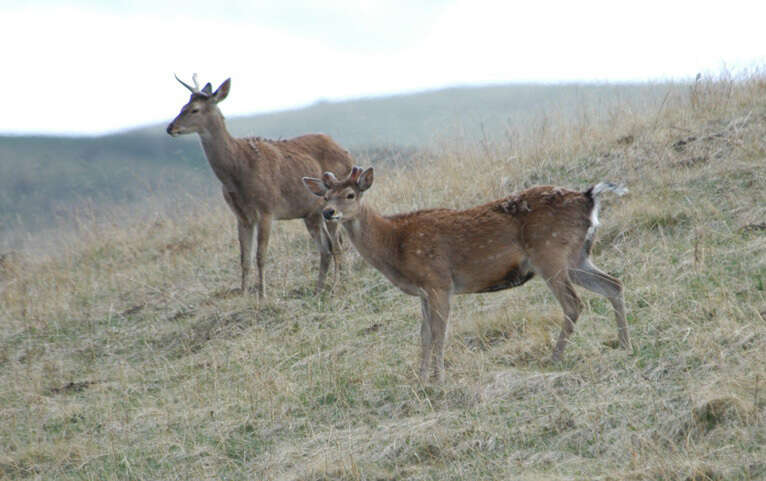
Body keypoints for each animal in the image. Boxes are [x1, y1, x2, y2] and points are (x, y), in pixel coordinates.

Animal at [168, 74, 354, 296]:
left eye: (194, 109)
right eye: (183, 105)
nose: (170, 128)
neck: (237, 173)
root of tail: (347, 153)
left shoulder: (266, 209)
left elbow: (260, 255)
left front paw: (262, 294)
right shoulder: (242, 216)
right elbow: (244, 258)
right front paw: (243, 294)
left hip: (332, 208)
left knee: (337, 246)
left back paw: (337, 285)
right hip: (312, 214)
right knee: (327, 248)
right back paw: (320, 289)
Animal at [304, 167, 632, 380]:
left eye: (350, 194)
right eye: (325, 196)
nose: (328, 213)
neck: (395, 245)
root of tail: (588, 197)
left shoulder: (438, 280)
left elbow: (439, 331)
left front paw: (438, 377)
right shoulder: (424, 291)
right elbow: (424, 334)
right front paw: (421, 378)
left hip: (549, 253)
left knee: (574, 303)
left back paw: (555, 357)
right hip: (576, 256)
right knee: (614, 284)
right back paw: (625, 343)